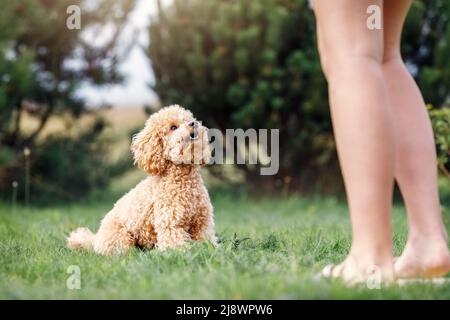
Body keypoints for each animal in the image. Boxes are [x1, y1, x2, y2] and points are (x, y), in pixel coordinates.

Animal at [66, 105, 218, 255]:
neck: (184, 179)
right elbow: (175, 245)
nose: (193, 123)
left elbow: (205, 241)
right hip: (121, 239)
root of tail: (95, 239)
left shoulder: (202, 222)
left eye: (189, 119)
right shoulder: (170, 223)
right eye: (173, 127)